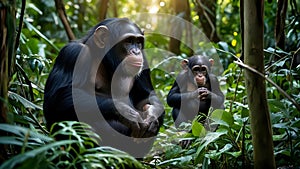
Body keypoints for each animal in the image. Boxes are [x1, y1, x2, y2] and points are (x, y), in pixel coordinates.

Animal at [44, 17, 165, 156]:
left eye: (138, 42)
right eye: (128, 41)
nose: (136, 51)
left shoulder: (144, 61)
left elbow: (146, 95)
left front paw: (152, 115)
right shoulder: (72, 54)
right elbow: (56, 100)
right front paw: (126, 113)